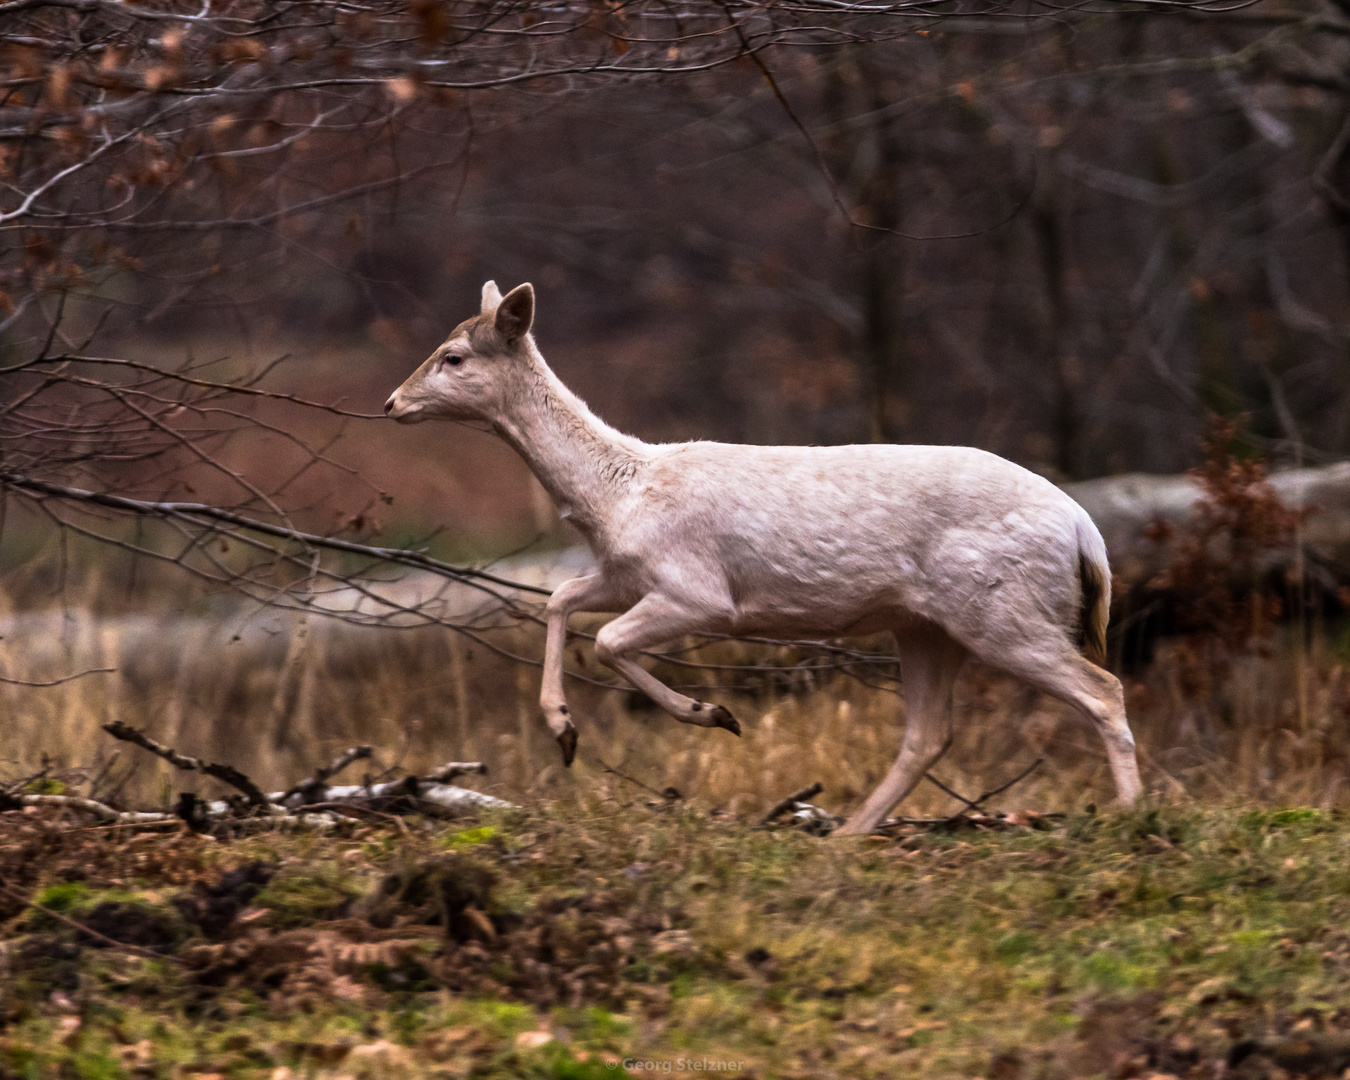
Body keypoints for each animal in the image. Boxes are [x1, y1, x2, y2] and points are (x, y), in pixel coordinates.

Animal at [386, 280, 1144, 837]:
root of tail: (1088, 534)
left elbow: (606, 641)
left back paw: (1135, 815)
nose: (391, 402)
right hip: (928, 625)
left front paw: (713, 714)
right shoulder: (628, 574)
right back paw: (849, 834)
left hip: (1002, 608)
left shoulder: (700, 591)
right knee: (930, 733)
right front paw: (564, 730)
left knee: (1102, 689)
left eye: (453, 356)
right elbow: (560, 598)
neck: (616, 496)